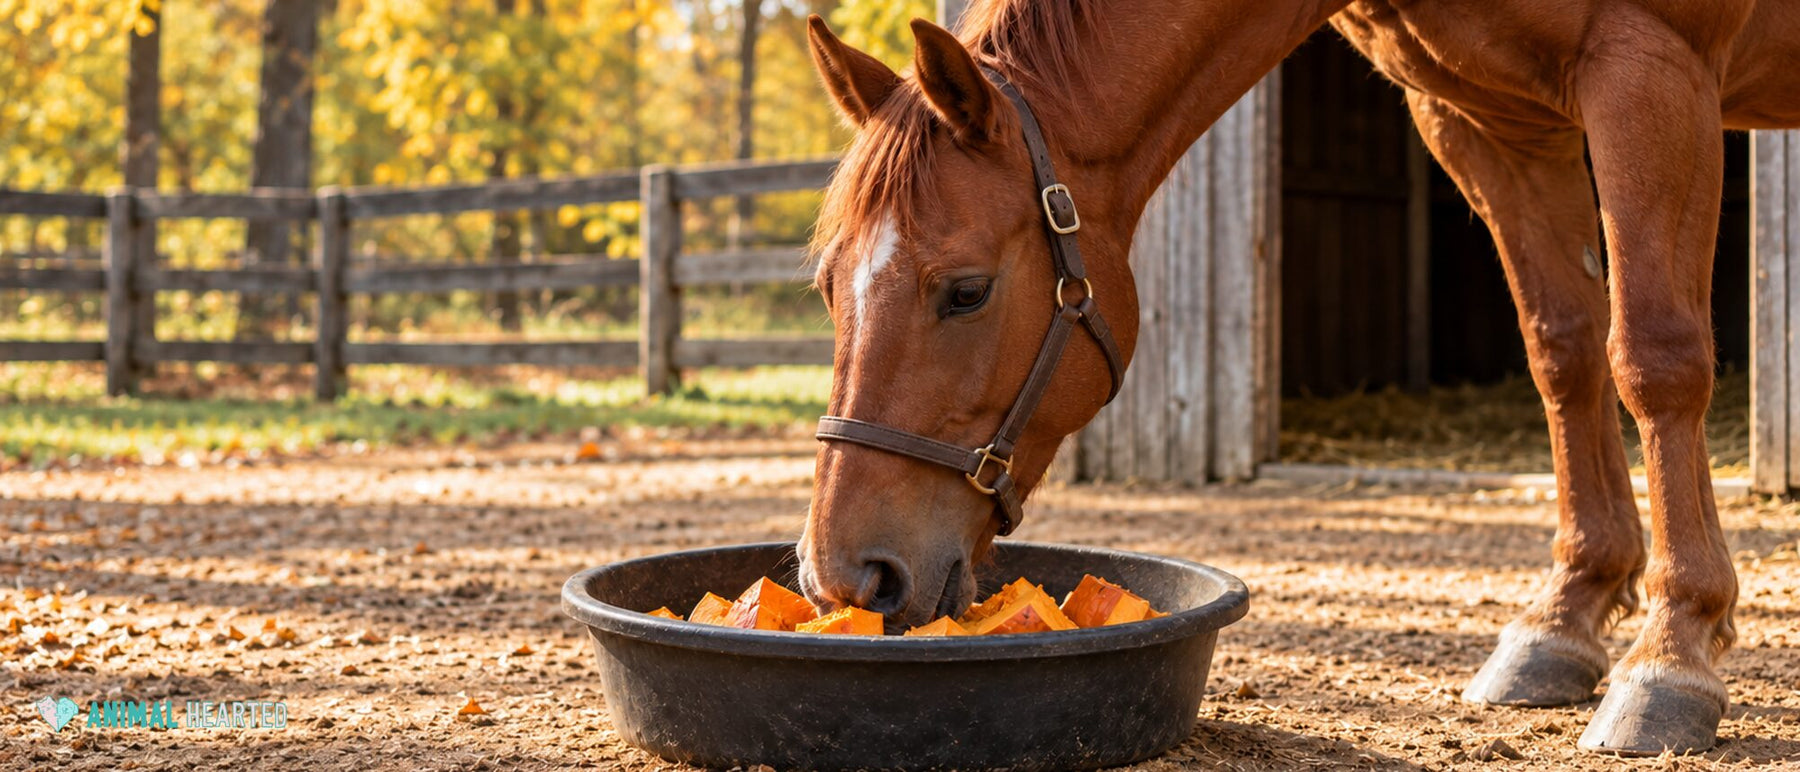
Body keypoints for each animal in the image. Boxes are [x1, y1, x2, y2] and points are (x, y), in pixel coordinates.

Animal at [796, 0, 1800, 755]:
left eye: (965, 291)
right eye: (827, 285)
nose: (847, 573)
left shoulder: (1650, 68)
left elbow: (1655, 359)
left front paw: (1672, 651)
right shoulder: (1488, 121)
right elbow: (1565, 349)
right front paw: (1566, 615)